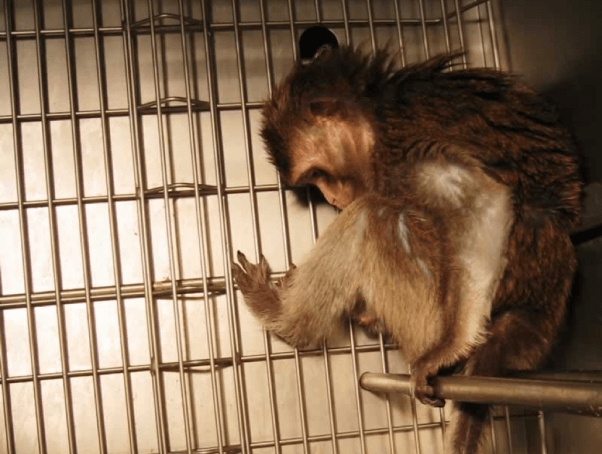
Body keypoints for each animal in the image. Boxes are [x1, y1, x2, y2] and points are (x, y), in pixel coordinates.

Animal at [231, 46, 580, 454]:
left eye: (318, 175)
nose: (331, 199)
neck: (377, 113)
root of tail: (530, 315)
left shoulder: (410, 151)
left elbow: (485, 200)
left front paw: (450, 348)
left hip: (430, 310)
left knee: (373, 214)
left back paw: (285, 319)